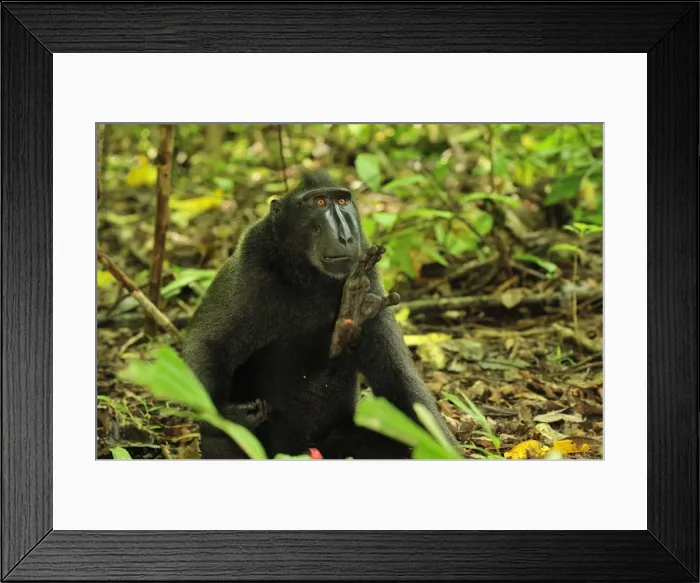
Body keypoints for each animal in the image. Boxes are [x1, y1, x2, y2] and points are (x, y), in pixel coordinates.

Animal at [182, 170, 461, 459]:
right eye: (319, 202)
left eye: (342, 201)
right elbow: (208, 344)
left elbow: (398, 382)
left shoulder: (370, 279)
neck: (306, 275)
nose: (346, 237)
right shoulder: (250, 263)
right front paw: (227, 415)